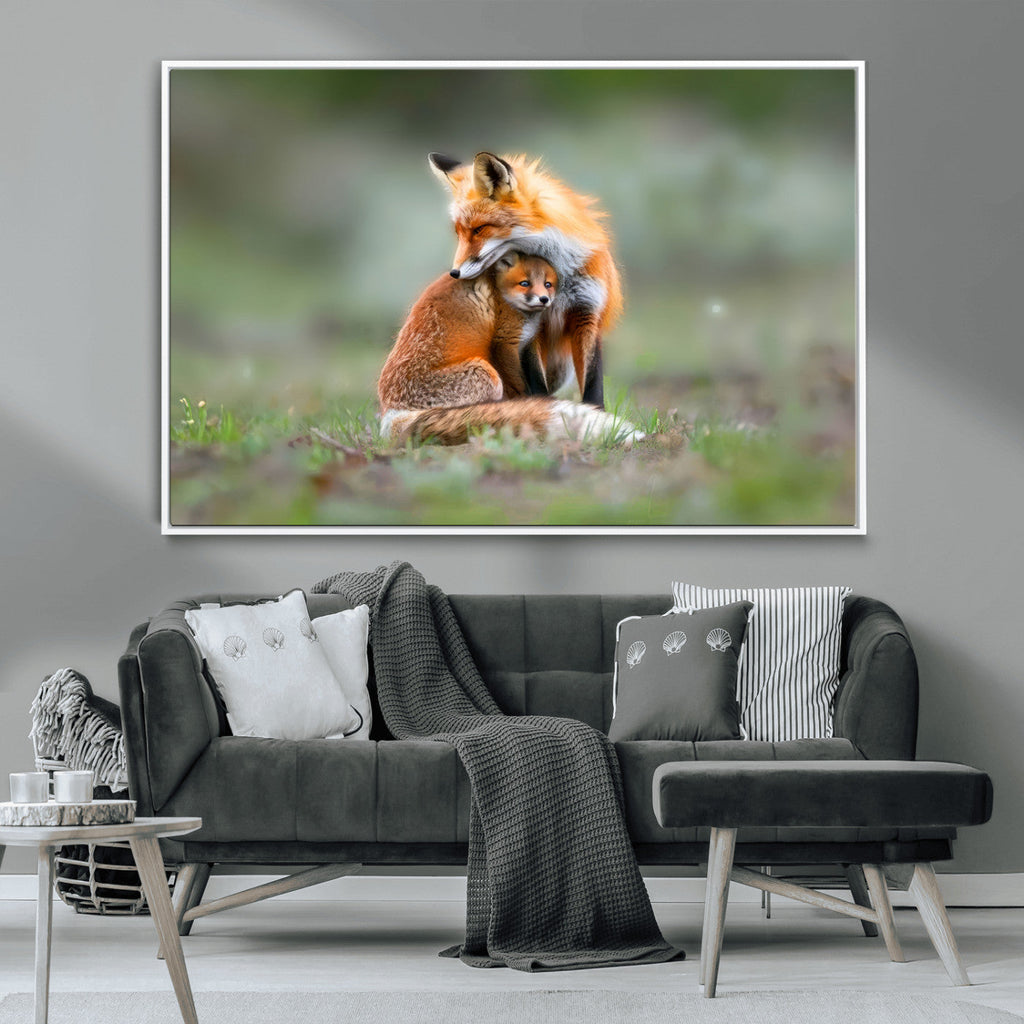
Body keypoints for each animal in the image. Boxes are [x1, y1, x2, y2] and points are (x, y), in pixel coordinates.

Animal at [428, 150, 623, 410]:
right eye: (458, 233)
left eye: (479, 229)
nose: (454, 273)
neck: (558, 275)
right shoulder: (532, 324)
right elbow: (536, 382)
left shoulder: (587, 313)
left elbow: (593, 384)